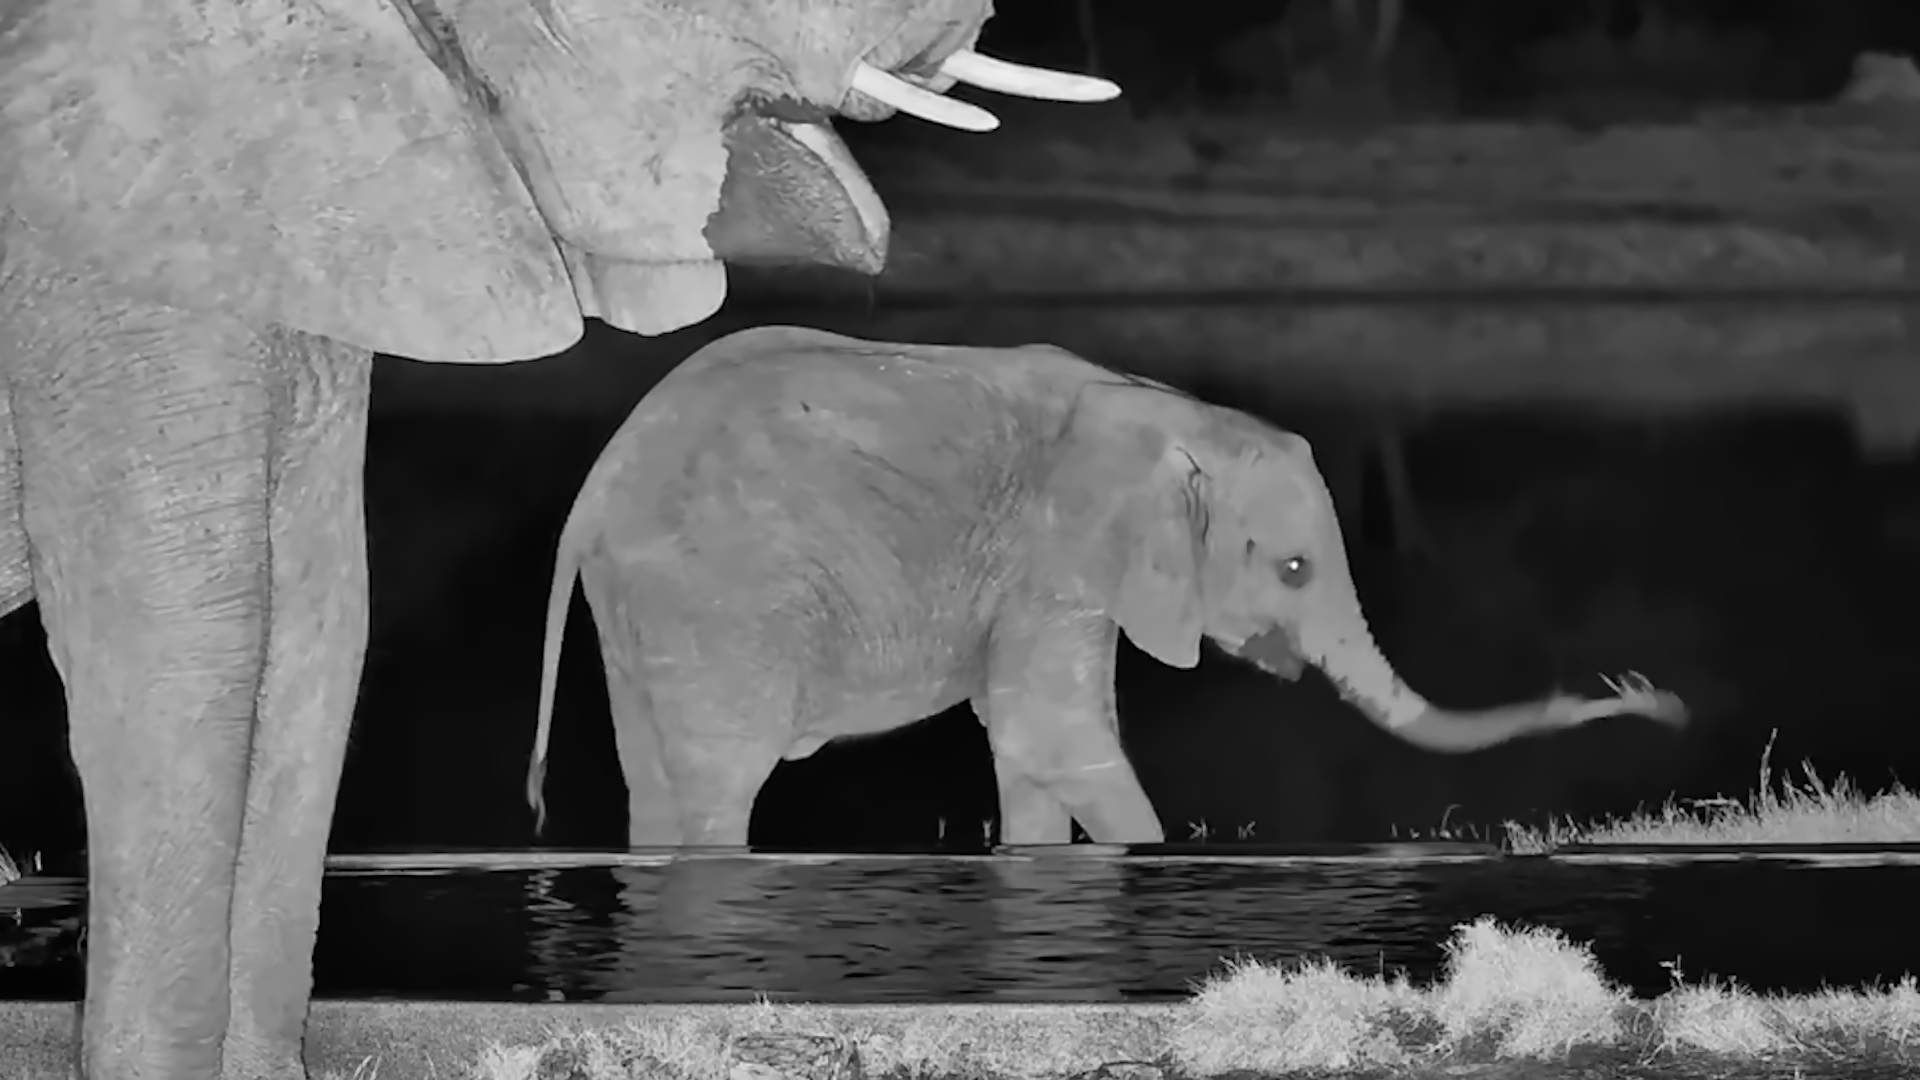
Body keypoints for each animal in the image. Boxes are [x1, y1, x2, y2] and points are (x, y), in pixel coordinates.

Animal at [524, 326, 1686, 849]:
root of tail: (594, 487)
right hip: (717, 596)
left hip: (644, 606)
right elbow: (1053, 732)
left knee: (655, 780)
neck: (1169, 413)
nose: (1651, 698)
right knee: (724, 779)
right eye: (1294, 568)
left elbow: (1030, 751)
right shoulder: (1059, 554)